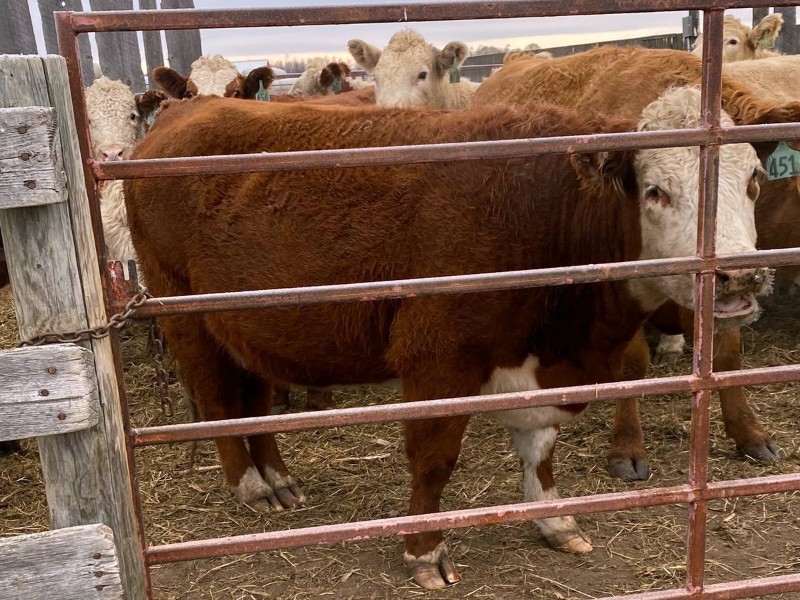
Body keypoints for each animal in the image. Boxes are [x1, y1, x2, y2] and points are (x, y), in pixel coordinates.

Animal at [125, 86, 770, 589]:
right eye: (657, 191)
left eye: (753, 183)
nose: (739, 273)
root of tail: (185, 111)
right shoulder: (437, 359)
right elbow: (434, 459)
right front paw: (424, 551)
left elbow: (540, 447)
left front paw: (554, 519)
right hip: (183, 313)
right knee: (217, 401)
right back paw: (251, 486)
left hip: (251, 327)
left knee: (256, 401)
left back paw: (280, 479)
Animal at [472, 45, 800, 481]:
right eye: (654, 191)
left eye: (755, 176)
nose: (743, 275)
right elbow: (632, 368)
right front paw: (626, 446)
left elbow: (729, 356)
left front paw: (748, 431)